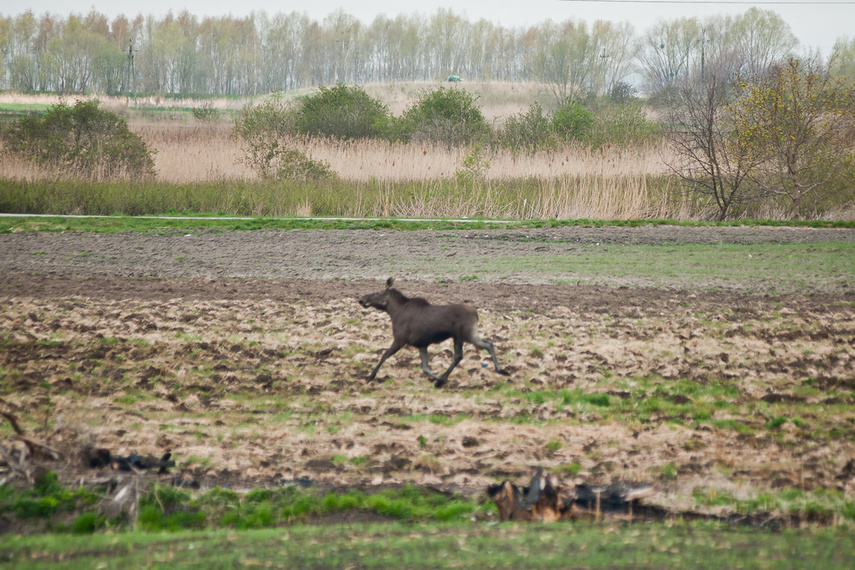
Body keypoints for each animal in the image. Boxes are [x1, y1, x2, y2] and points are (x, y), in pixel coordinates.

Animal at [360, 276, 508, 386]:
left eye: (377, 293)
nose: (361, 299)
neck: (393, 312)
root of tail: (476, 313)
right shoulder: (421, 344)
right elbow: (425, 367)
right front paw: (440, 379)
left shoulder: (400, 339)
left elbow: (384, 355)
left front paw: (370, 377)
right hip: (458, 337)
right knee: (459, 356)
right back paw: (442, 379)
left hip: (468, 334)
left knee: (488, 344)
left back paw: (500, 370)